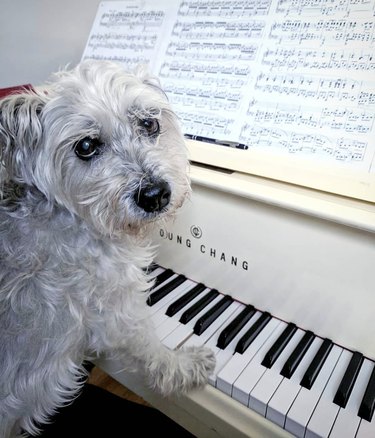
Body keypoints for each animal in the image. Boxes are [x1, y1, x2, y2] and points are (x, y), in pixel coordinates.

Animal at [0, 59, 216, 438]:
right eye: (86, 146)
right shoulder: (118, 312)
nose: (156, 195)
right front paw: (185, 365)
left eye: (149, 123)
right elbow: (150, 348)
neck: (79, 218)